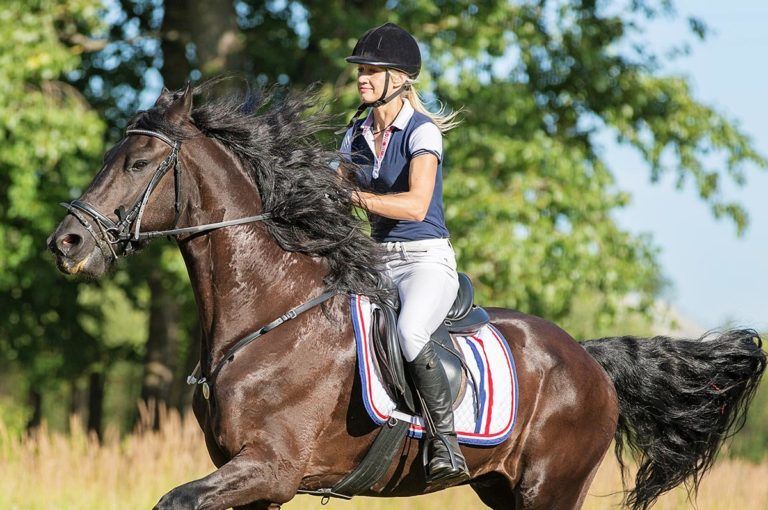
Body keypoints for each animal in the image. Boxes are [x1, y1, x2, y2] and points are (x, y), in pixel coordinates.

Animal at [48, 82, 766, 510]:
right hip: (503, 488)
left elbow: (174, 499)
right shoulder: (254, 479)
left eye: (138, 164)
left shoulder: (270, 466)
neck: (264, 318)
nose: (67, 243)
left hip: (550, 491)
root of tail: (590, 357)